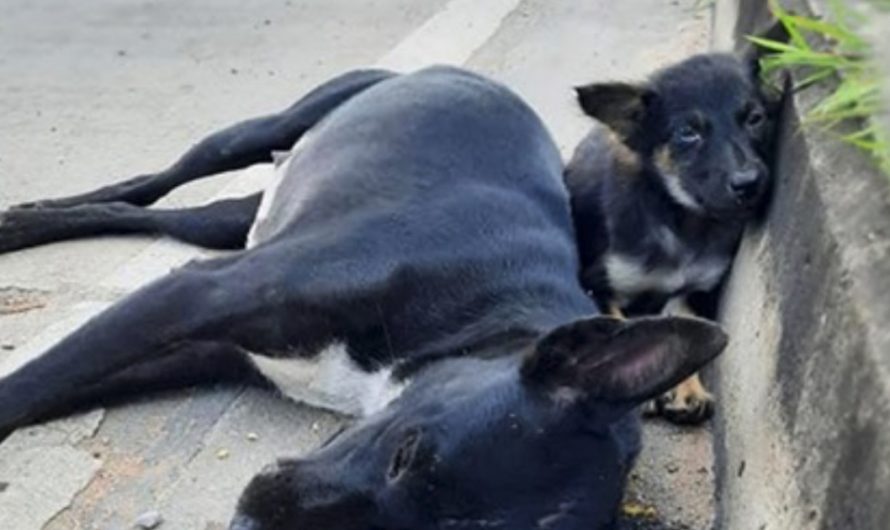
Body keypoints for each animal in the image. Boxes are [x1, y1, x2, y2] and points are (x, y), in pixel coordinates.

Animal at [0, 67, 720, 528]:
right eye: (406, 454)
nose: (248, 522)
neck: (481, 315)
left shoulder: (211, 349)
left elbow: (59, 387)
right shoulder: (197, 294)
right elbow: (32, 383)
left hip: (237, 215)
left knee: (160, 214)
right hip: (262, 130)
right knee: (153, 182)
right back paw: (24, 222)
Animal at [564, 53, 772, 422]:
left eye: (755, 118)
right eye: (687, 133)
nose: (749, 183)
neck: (682, 221)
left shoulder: (692, 291)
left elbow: (685, 334)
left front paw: (689, 390)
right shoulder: (598, 285)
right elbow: (621, 330)